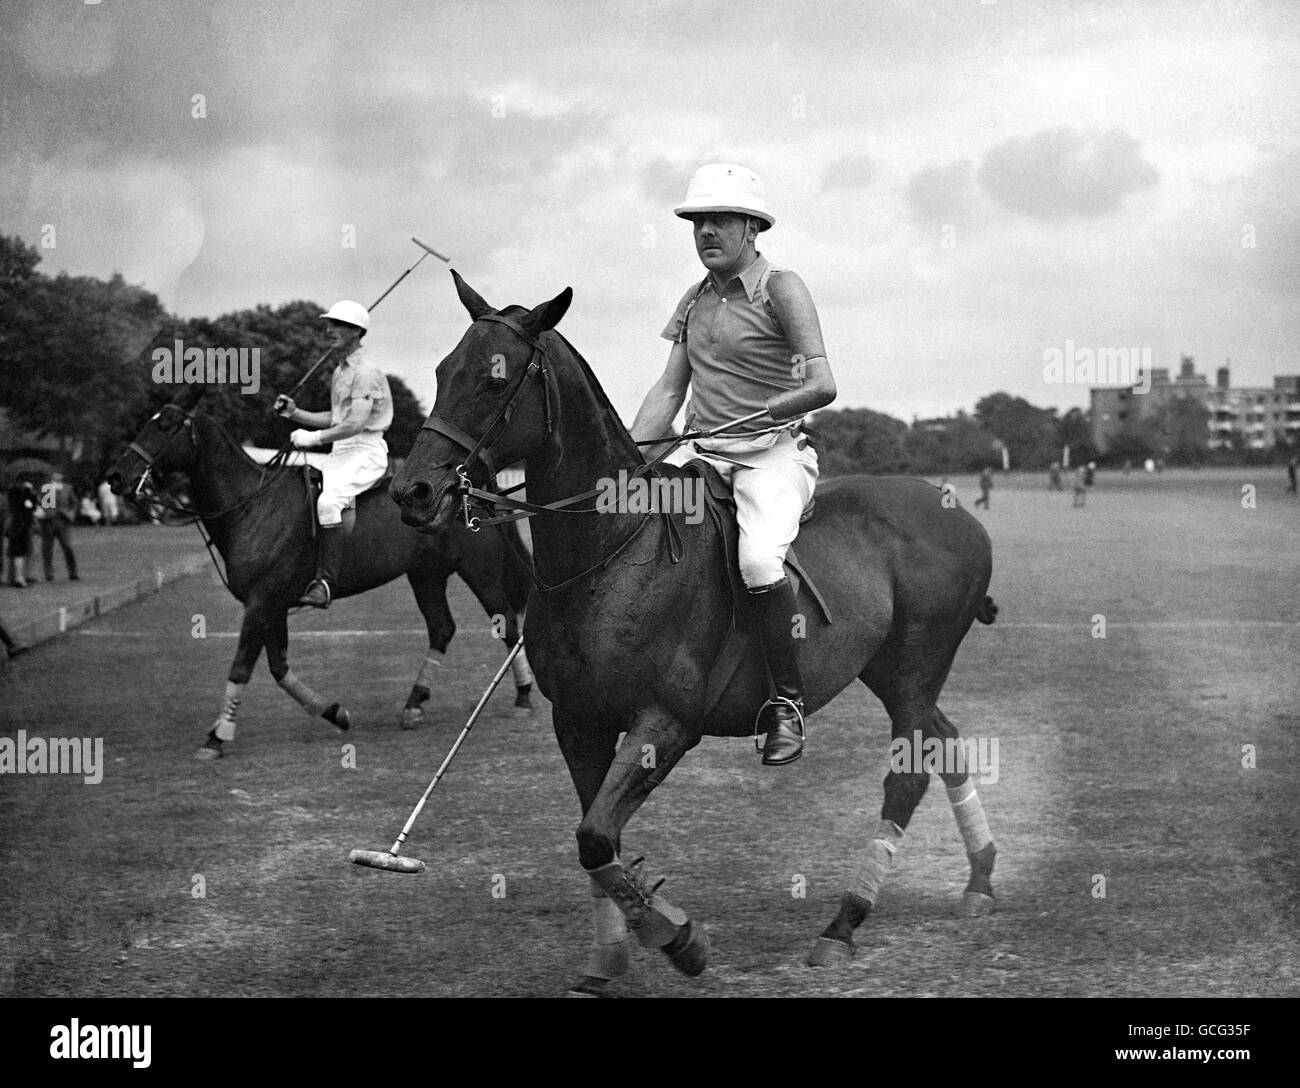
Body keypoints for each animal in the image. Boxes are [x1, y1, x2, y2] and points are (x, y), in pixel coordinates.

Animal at [109, 402, 535, 759]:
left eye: (165, 426)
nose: (116, 476)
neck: (252, 505)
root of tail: (470, 486)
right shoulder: (272, 603)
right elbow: (278, 667)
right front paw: (335, 712)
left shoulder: (262, 600)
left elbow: (242, 666)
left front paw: (216, 737)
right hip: (425, 574)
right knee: (442, 628)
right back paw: (414, 705)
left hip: (479, 569)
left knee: (506, 624)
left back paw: (524, 696)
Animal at [390, 274, 998, 993]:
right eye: (440, 371)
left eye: (494, 378)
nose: (412, 491)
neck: (611, 552)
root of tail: (959, 512)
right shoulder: (577, 721)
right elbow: (596, 835)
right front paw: (609, 958)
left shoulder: (668, 721)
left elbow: (596, 836)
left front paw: (679, 939)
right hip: (890, 668)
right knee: (947, 740)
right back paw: (981, 879)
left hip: (913, 665)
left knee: (907, 777)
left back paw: (842, 924)